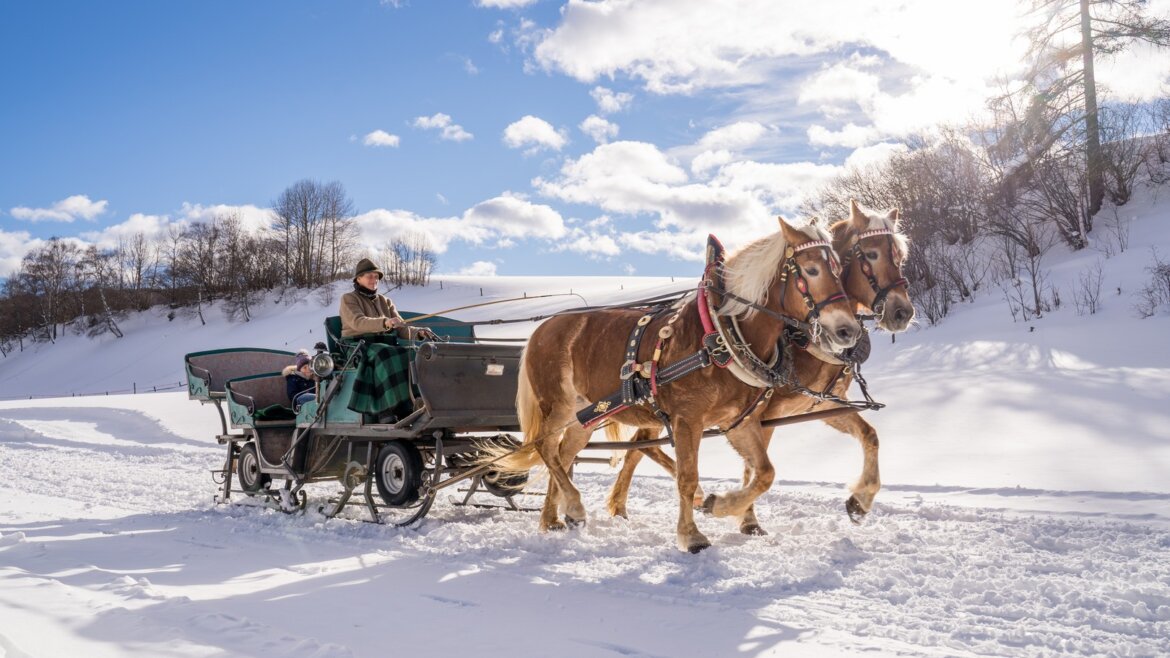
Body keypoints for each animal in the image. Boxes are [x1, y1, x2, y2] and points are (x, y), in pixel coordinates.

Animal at [484, 214, 861, 547]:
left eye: (839, 269)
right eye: (811, 270)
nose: (848, 330)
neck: (721, 336)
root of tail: (542, 328)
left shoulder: (739, 422)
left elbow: (765, 472)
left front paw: (720, 505)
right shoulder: (687, 420)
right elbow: (687, 476)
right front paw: (691, 536)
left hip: (585, 416)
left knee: (563, 455)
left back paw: (553, 519)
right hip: (557, 406)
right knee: (547, 448)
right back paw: (573, 506)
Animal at [603, 200, 912, 533]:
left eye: (899, 256)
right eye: (871, 254)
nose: (902, 312)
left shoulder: (821, 405)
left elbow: (869, 435)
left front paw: (860, 500)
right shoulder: (763, 414)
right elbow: (756, 469)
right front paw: (742, 514)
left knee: (638, 448)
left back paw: (623, 504)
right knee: (642, 446)